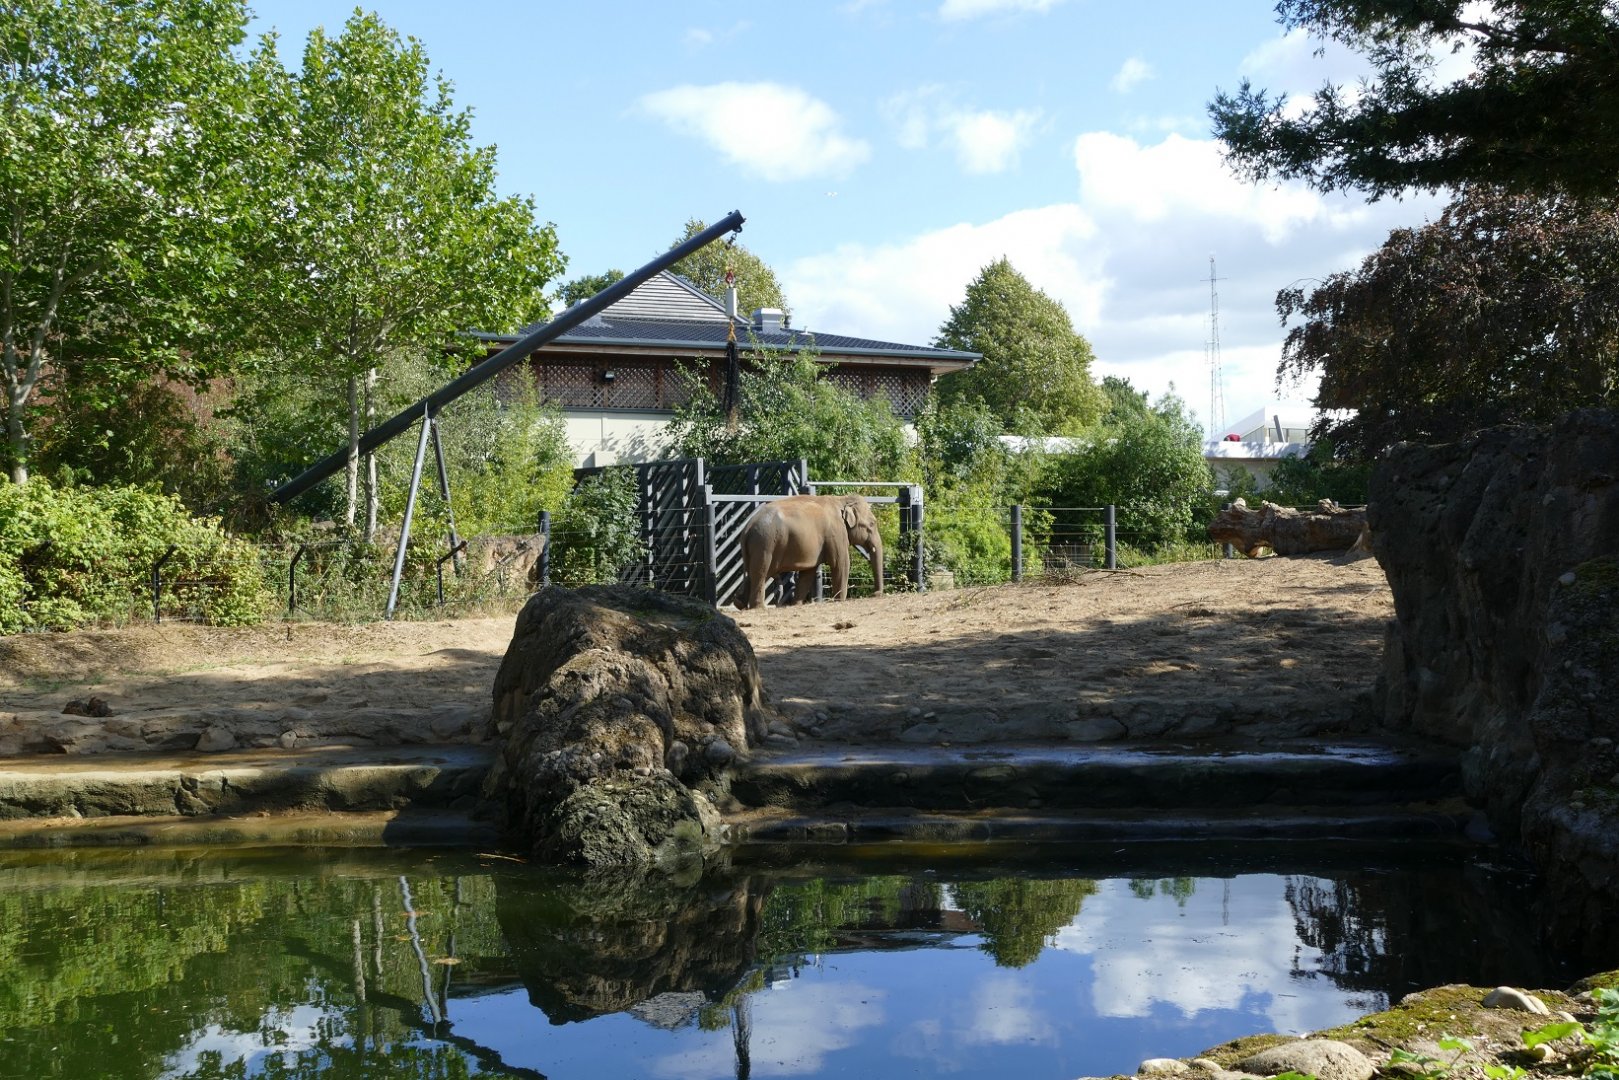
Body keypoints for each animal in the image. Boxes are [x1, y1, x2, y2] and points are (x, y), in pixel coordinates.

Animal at [737, 494, 884, 609]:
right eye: (872, 524)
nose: (875, 594)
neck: (842, 499)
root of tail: (747, 528)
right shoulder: (836, 533)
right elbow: (841, 563)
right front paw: (839, 601)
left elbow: (808, 572)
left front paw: (796, 604)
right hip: (764, 544)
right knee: (760, 572)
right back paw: (758, 607)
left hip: (758, 547)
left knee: (753, 573)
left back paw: (739, 603)